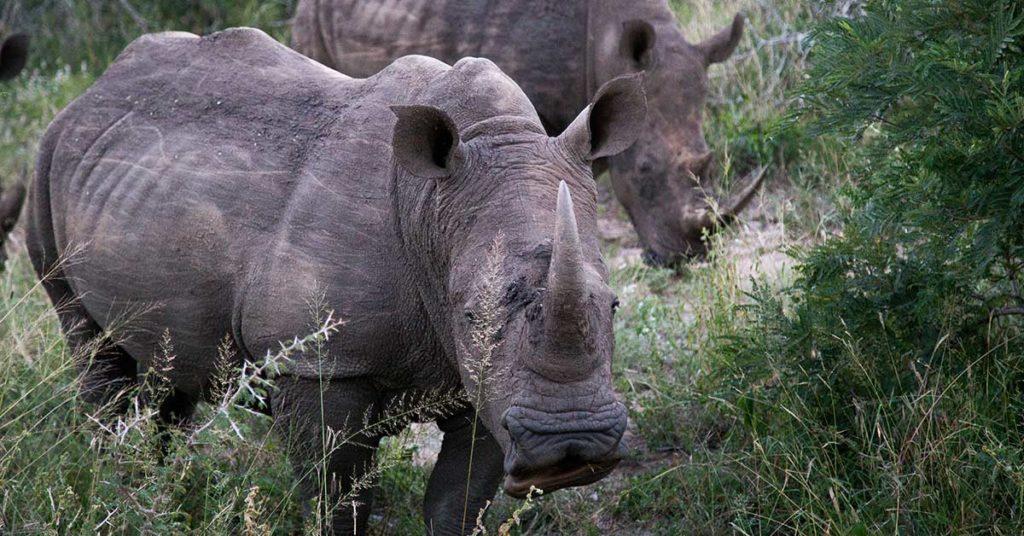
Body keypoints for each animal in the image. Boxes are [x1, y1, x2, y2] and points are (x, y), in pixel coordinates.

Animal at [28, 28, 645, 535]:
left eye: (614, 305)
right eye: (471, 313)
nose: (571, 447)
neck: (431, 210)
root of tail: (91, 91)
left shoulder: (490, 383)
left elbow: (459, 502)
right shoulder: (322, 364)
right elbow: (337, 501)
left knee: (167, 366)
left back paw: (154, 490)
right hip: (46, 160)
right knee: (91, 345)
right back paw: (116, 489)